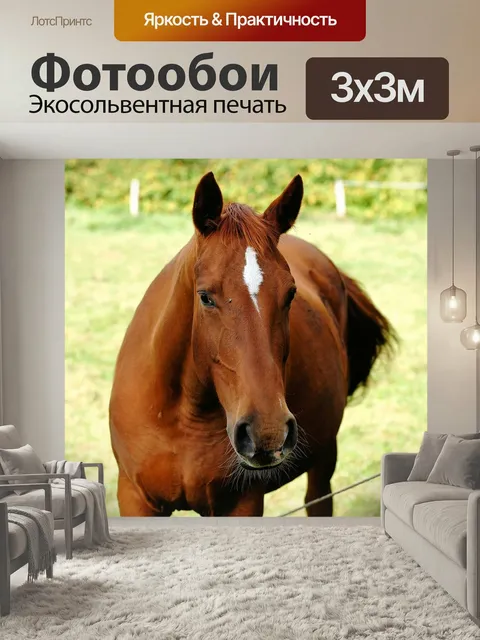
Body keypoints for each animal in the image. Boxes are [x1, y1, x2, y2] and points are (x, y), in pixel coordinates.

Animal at [109, 172, 394, 517]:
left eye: (291, 294)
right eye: (205, 297)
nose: (267, 432)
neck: (183, 417)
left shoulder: (242, 503)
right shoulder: (134, 498)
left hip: (325, 455)